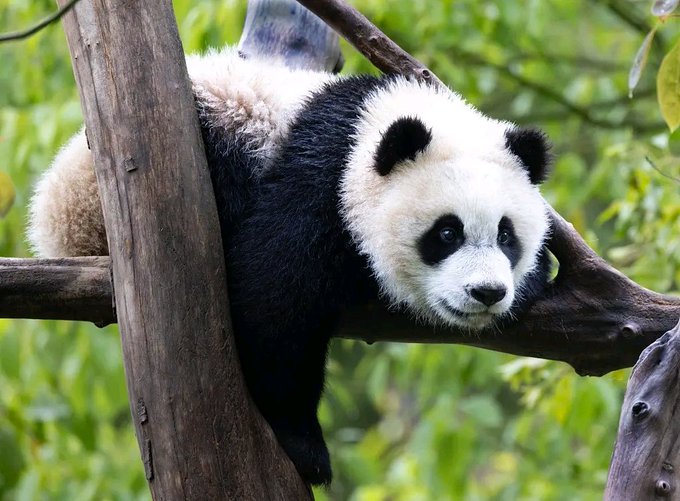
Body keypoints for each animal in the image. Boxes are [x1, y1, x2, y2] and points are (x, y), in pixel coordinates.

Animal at [27, 48, 552, 486]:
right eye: (447, 233)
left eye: (506, 235)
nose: (487, 292)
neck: (374, 117)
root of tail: (58, 218)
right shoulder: (319, 180)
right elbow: (274, 300)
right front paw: (304, 446)